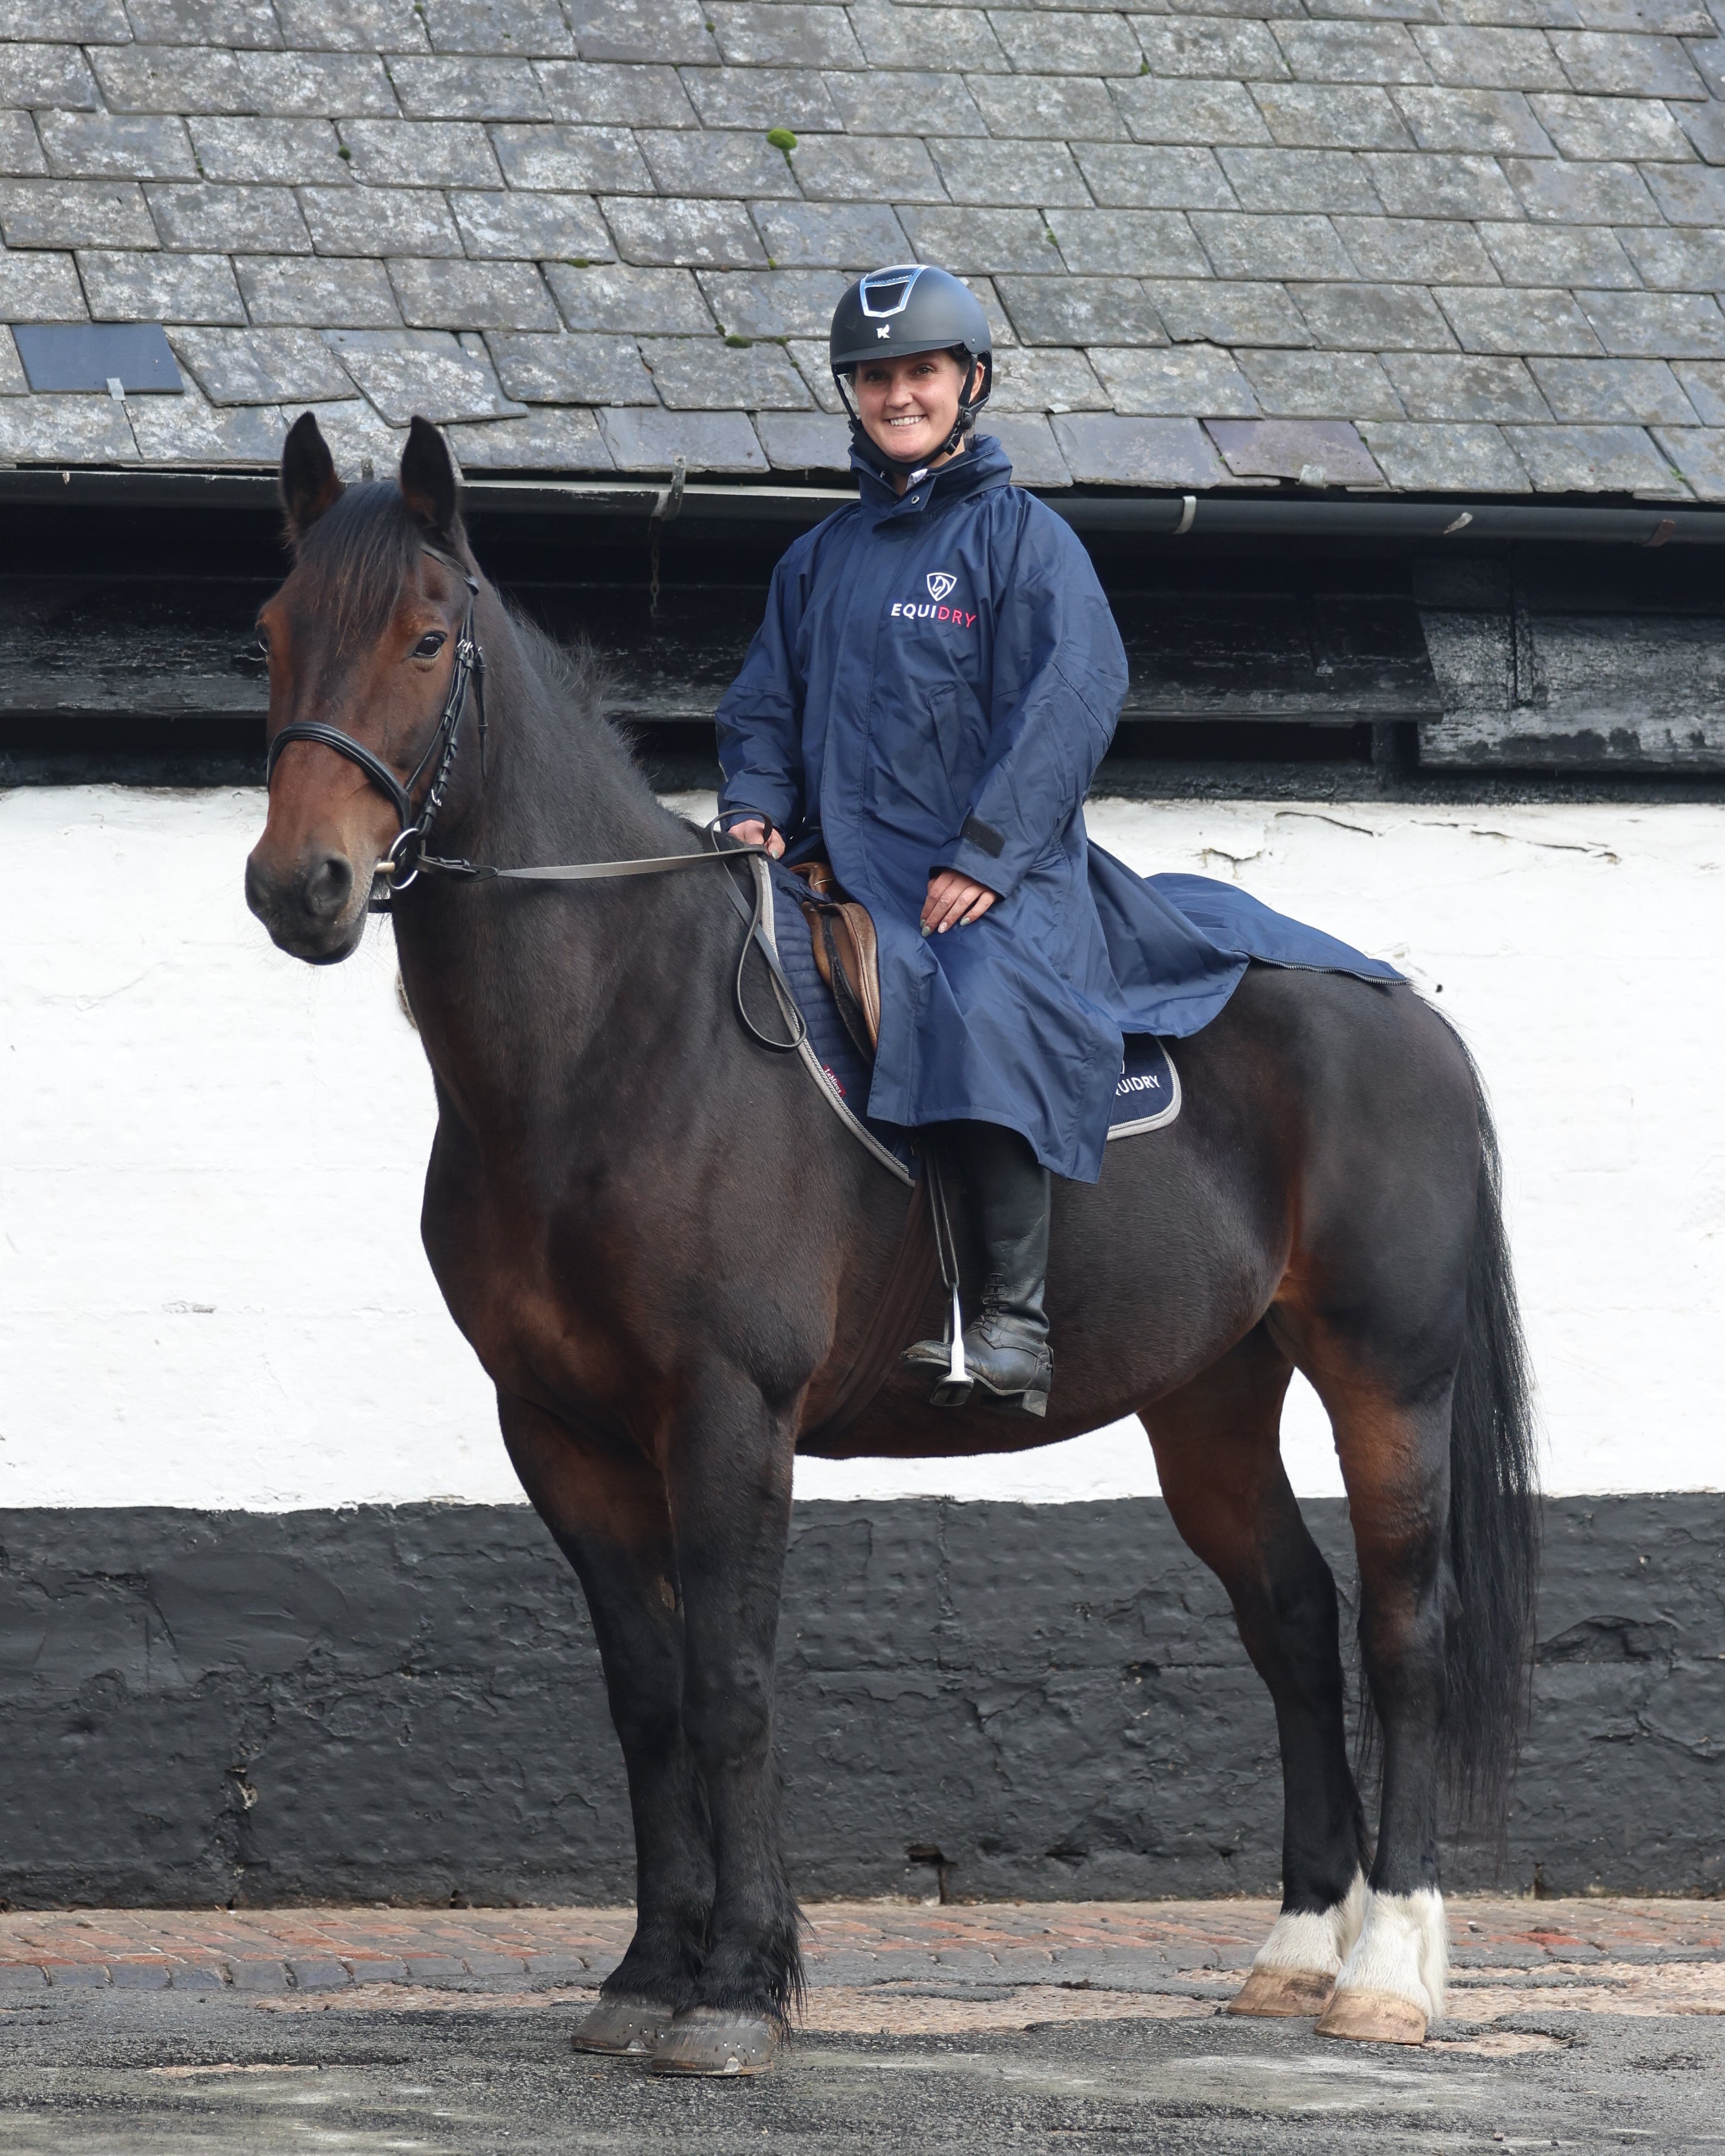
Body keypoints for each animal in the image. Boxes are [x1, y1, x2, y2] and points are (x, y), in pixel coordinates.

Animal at [245, 414, 1538, 2075]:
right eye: (272, 632)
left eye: (424, 638)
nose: (302, 886)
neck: (612, 1036)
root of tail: (1404, 1008)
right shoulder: (559, 1433)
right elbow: (647, 1696)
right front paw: (647, 1970)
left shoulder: (726, 1412)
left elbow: (730, 1683)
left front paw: (738, 1985)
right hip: (1210, 1399)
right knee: (1295, 1622)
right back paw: (1295, 1947)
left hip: (1387, 1378)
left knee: (1403, 1632)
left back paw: (1387, 1968)